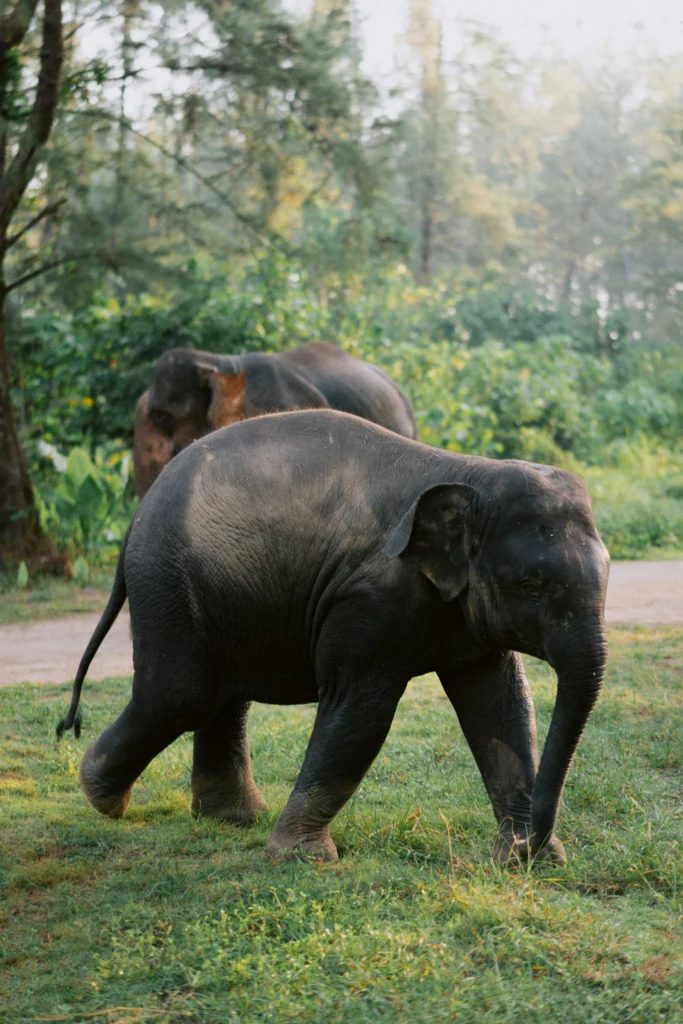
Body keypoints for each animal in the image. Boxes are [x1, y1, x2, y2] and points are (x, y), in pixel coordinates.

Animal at [59, 410, 609, 865]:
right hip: (170, 584)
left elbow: (501, 708)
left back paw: (231, 819)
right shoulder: (368, 601)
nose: (528, 842)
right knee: (181, 696)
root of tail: (134, 520)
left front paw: (534, 862)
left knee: (221, 697)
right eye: (530, 586)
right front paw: (304, 857)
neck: (468, 472)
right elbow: (361, 711)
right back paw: (101, 794)